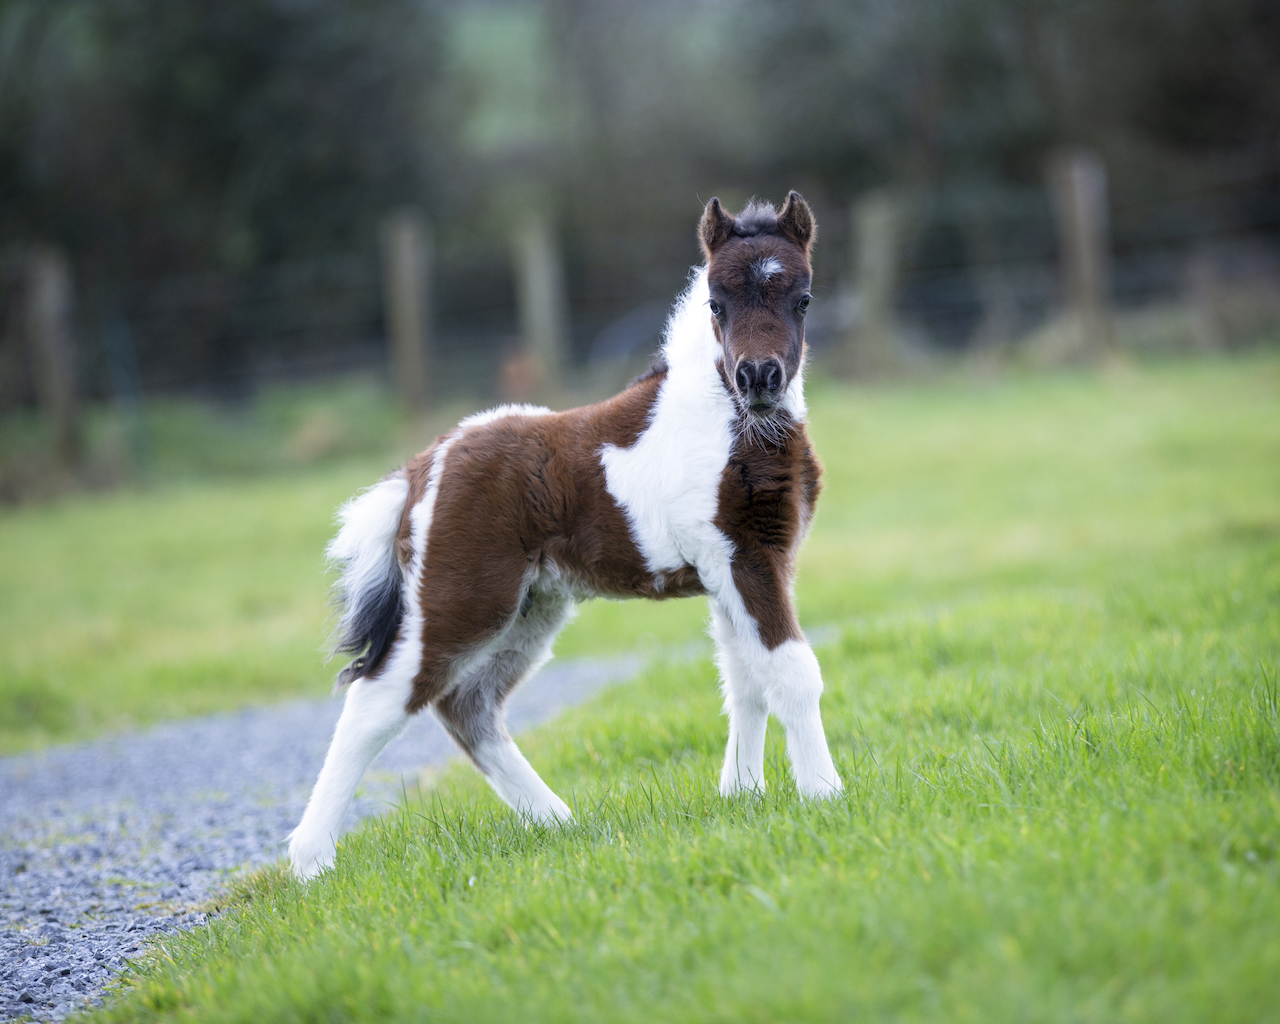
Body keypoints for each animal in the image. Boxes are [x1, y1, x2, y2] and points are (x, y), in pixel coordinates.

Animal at [289, 191, 843, 880]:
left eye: (803, 297)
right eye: (717, 302)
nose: (760, 378)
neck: (729, 422)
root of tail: (422, 469)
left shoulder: (731, 567)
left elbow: (746, 680)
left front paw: (742, 794)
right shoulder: (747, 556)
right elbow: (792, 671)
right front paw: (825, 795)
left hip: (532, 606)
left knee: (467, 707)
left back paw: (558, 822)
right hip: (461, 599)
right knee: (380, 699)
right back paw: (311, 861)